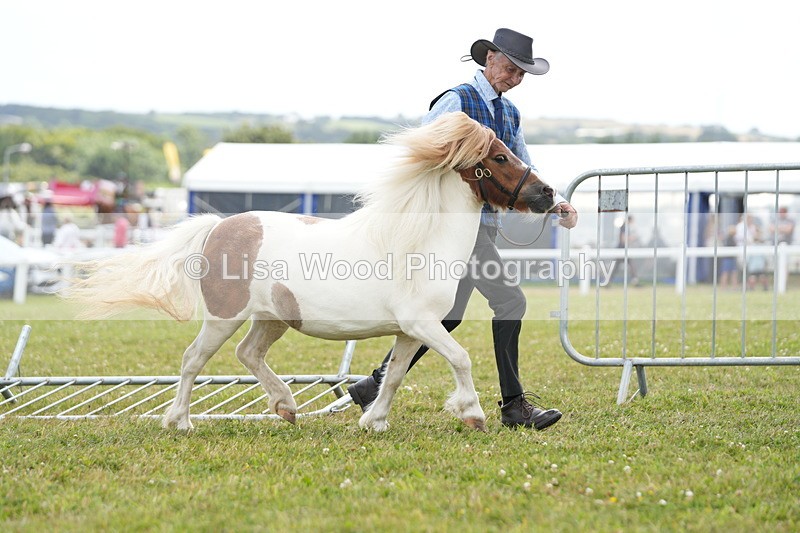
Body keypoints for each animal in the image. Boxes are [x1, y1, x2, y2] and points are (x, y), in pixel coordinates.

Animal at [64, 112, 556, 432]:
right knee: (192, 359)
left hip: (273, 318)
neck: (420, 240)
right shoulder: (422, 324)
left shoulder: (412, 330)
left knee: (248, 354)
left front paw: (373, 421)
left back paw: (285, 406)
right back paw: (180, 422)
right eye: (500, 157)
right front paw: (473, 414)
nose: (548, 194)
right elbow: (461, 358)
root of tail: (219, 226)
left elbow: (396, 373)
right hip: (224, 316)